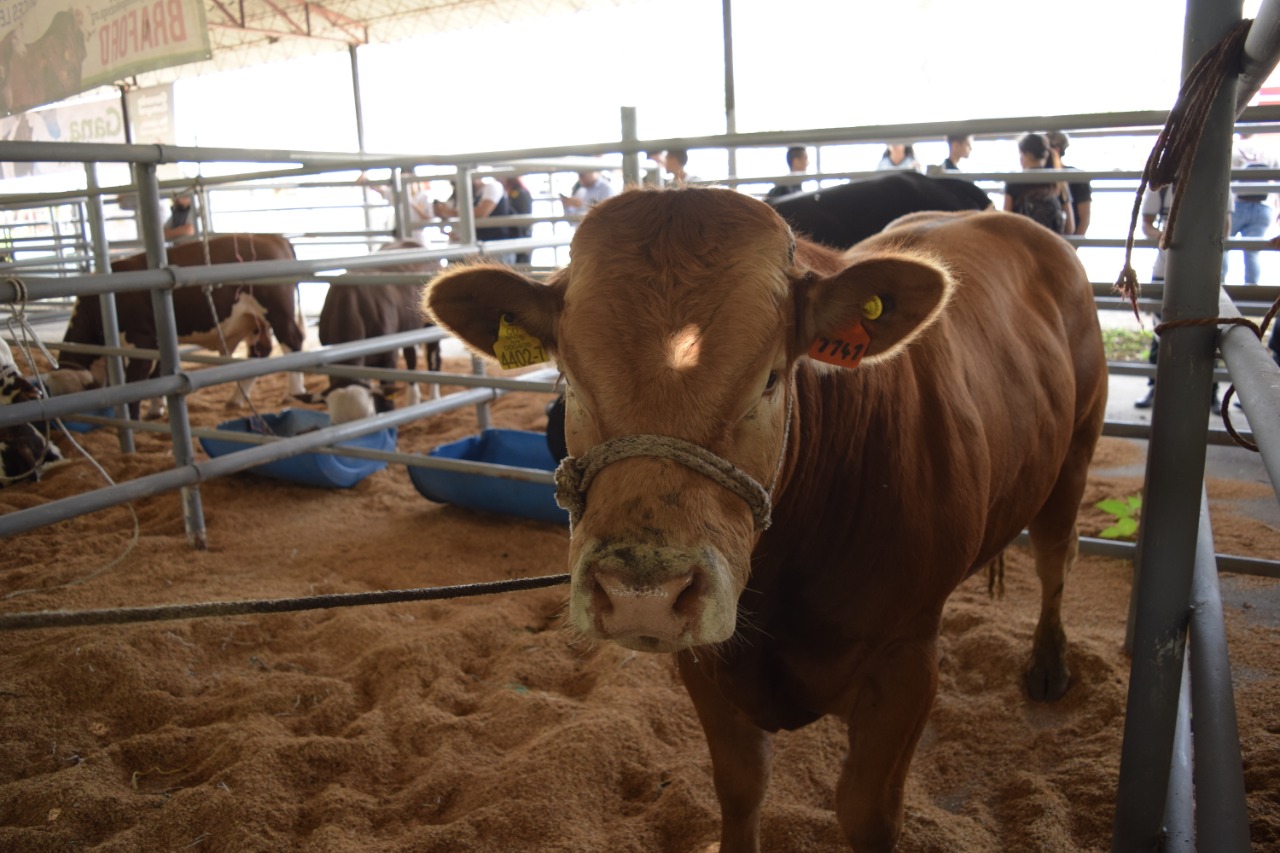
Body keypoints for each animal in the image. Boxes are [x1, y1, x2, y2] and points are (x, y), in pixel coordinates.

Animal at [424, 188, 1105, 850]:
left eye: (772, 377)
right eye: (567, 379)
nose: (643, 594)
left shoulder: (906, 663)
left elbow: (867, 815)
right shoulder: (707, 665)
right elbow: (740, 788)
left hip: (1076, 448)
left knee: (1056, 552)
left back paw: (1049, 664)